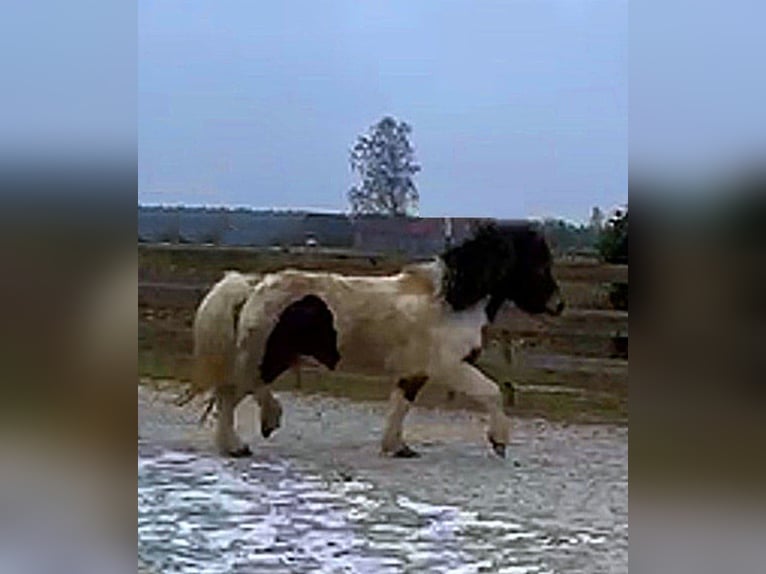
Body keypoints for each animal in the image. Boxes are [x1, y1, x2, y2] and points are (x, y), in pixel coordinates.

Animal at [190, 222, 564, 458]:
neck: (450, 301)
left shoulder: (414, 372)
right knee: (236, 391)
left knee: (234, 391)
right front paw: (499, 442)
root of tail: (253, 285)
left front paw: (397, 448)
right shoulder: (448, 366)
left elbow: (400, 406)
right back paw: (253, 434)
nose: (558, 305)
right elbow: (491, 392)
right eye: (537, 264)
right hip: (270, 356)